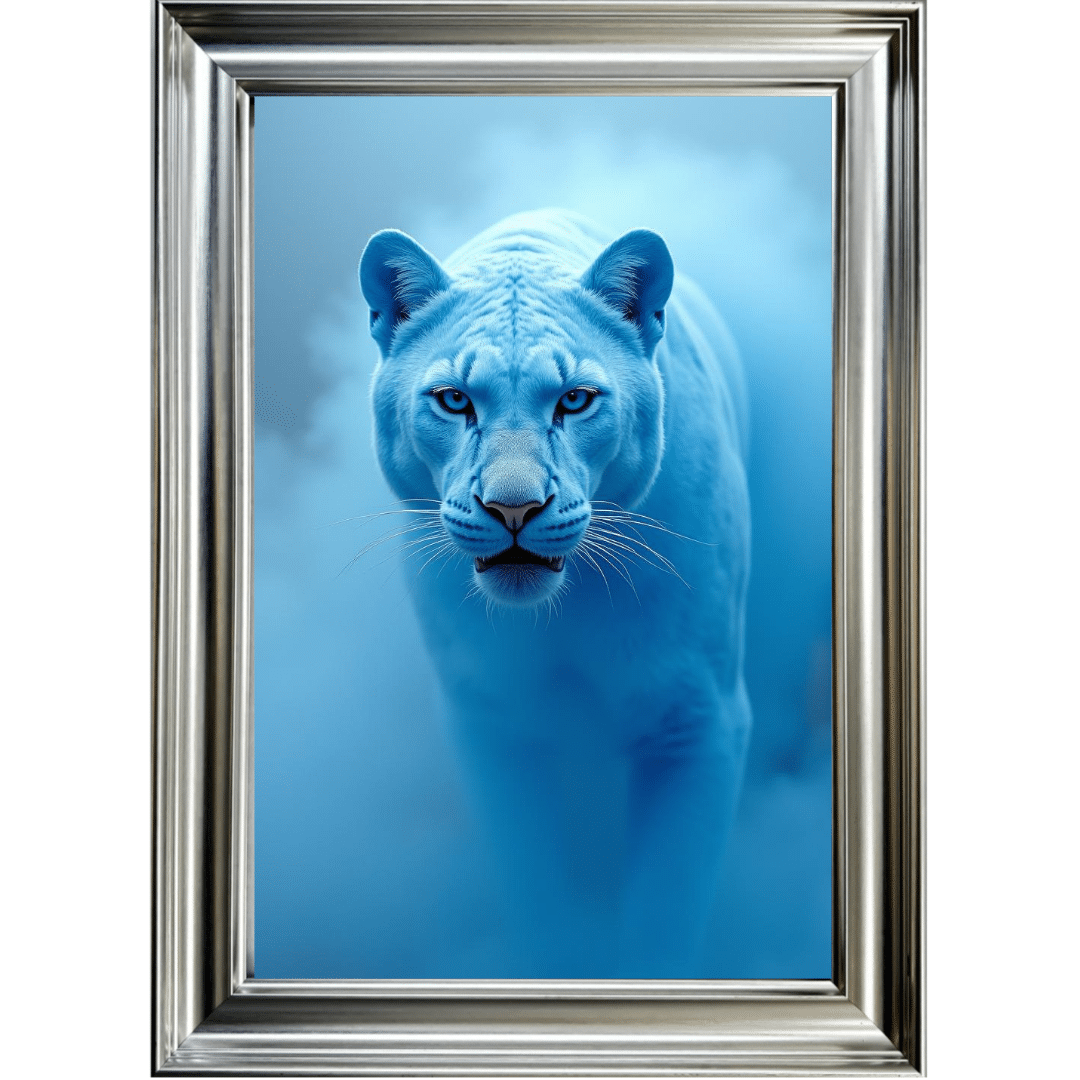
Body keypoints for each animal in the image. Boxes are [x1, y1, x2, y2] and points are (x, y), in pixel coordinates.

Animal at [359, 209, 751, 976]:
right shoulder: (492, 720)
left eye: (575, 399)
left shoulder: (699, 718)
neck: (562, 619)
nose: (513, 508)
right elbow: (535, 885)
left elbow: (666, 908)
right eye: (455, 399)